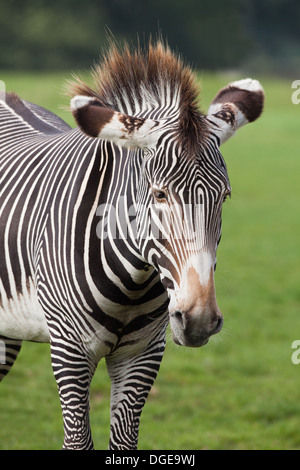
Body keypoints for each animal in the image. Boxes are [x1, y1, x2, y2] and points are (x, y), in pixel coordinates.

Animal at [0, 42, 264, 450]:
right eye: (159, 194)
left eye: (224, 197)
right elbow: (78, 440)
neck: (131, 282)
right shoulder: (69, 350)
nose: (199, 320)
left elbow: (125, 441)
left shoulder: (143, 353)